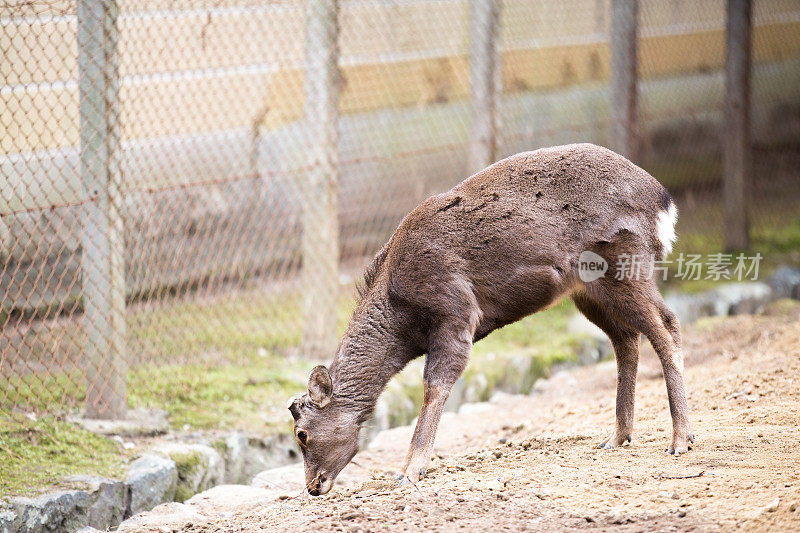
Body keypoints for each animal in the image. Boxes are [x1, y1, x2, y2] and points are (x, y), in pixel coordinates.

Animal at [290, 142, 692, 494]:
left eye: (301, 433)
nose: (312, 487)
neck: (403, 317)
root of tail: (664, 200)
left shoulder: (455, 312)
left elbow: (434, 387)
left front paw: (409, 473)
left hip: (625, 263)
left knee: (667, 326)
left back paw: (680, 439)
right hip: (589, 292)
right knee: (626, 340)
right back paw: (617, 436)